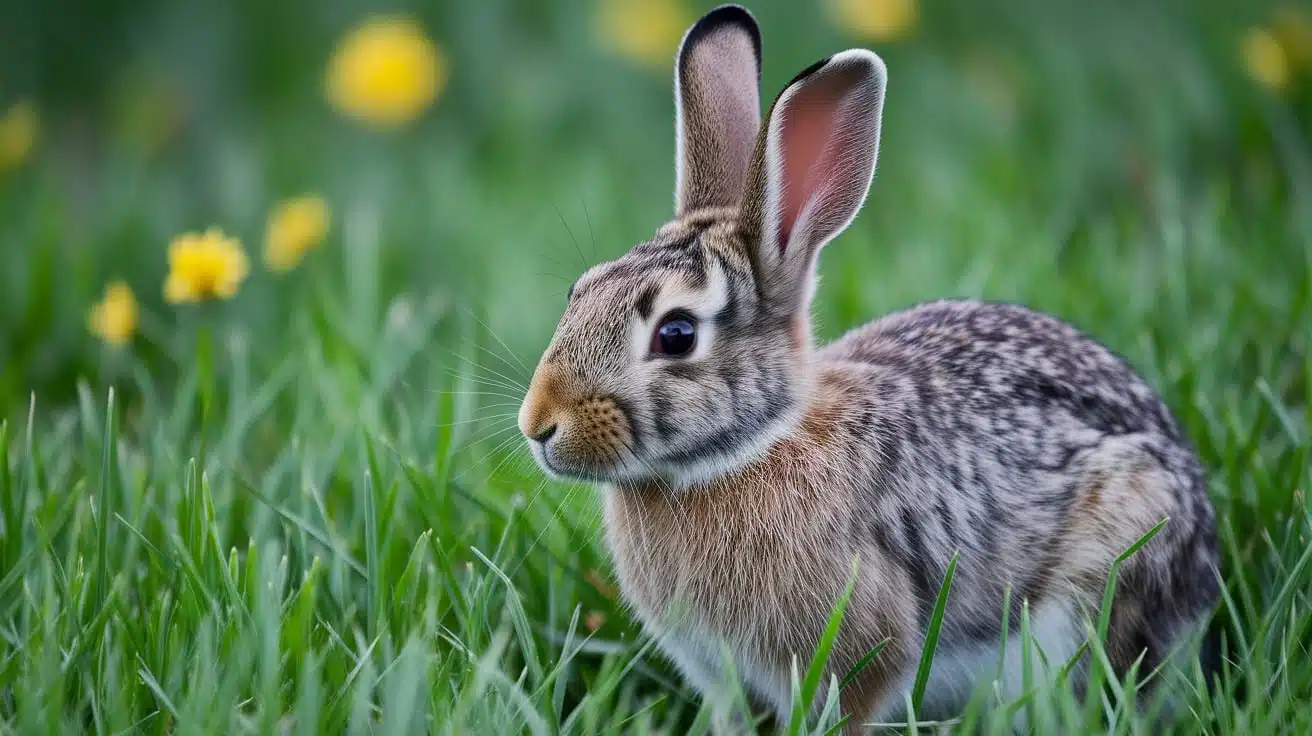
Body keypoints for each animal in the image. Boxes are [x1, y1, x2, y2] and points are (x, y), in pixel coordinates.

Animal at [517, 4, 1220, 729]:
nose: (537, 425)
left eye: (676, 335)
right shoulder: (721, 674)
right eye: (581, 289)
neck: (743, 452)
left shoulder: (860, 650)